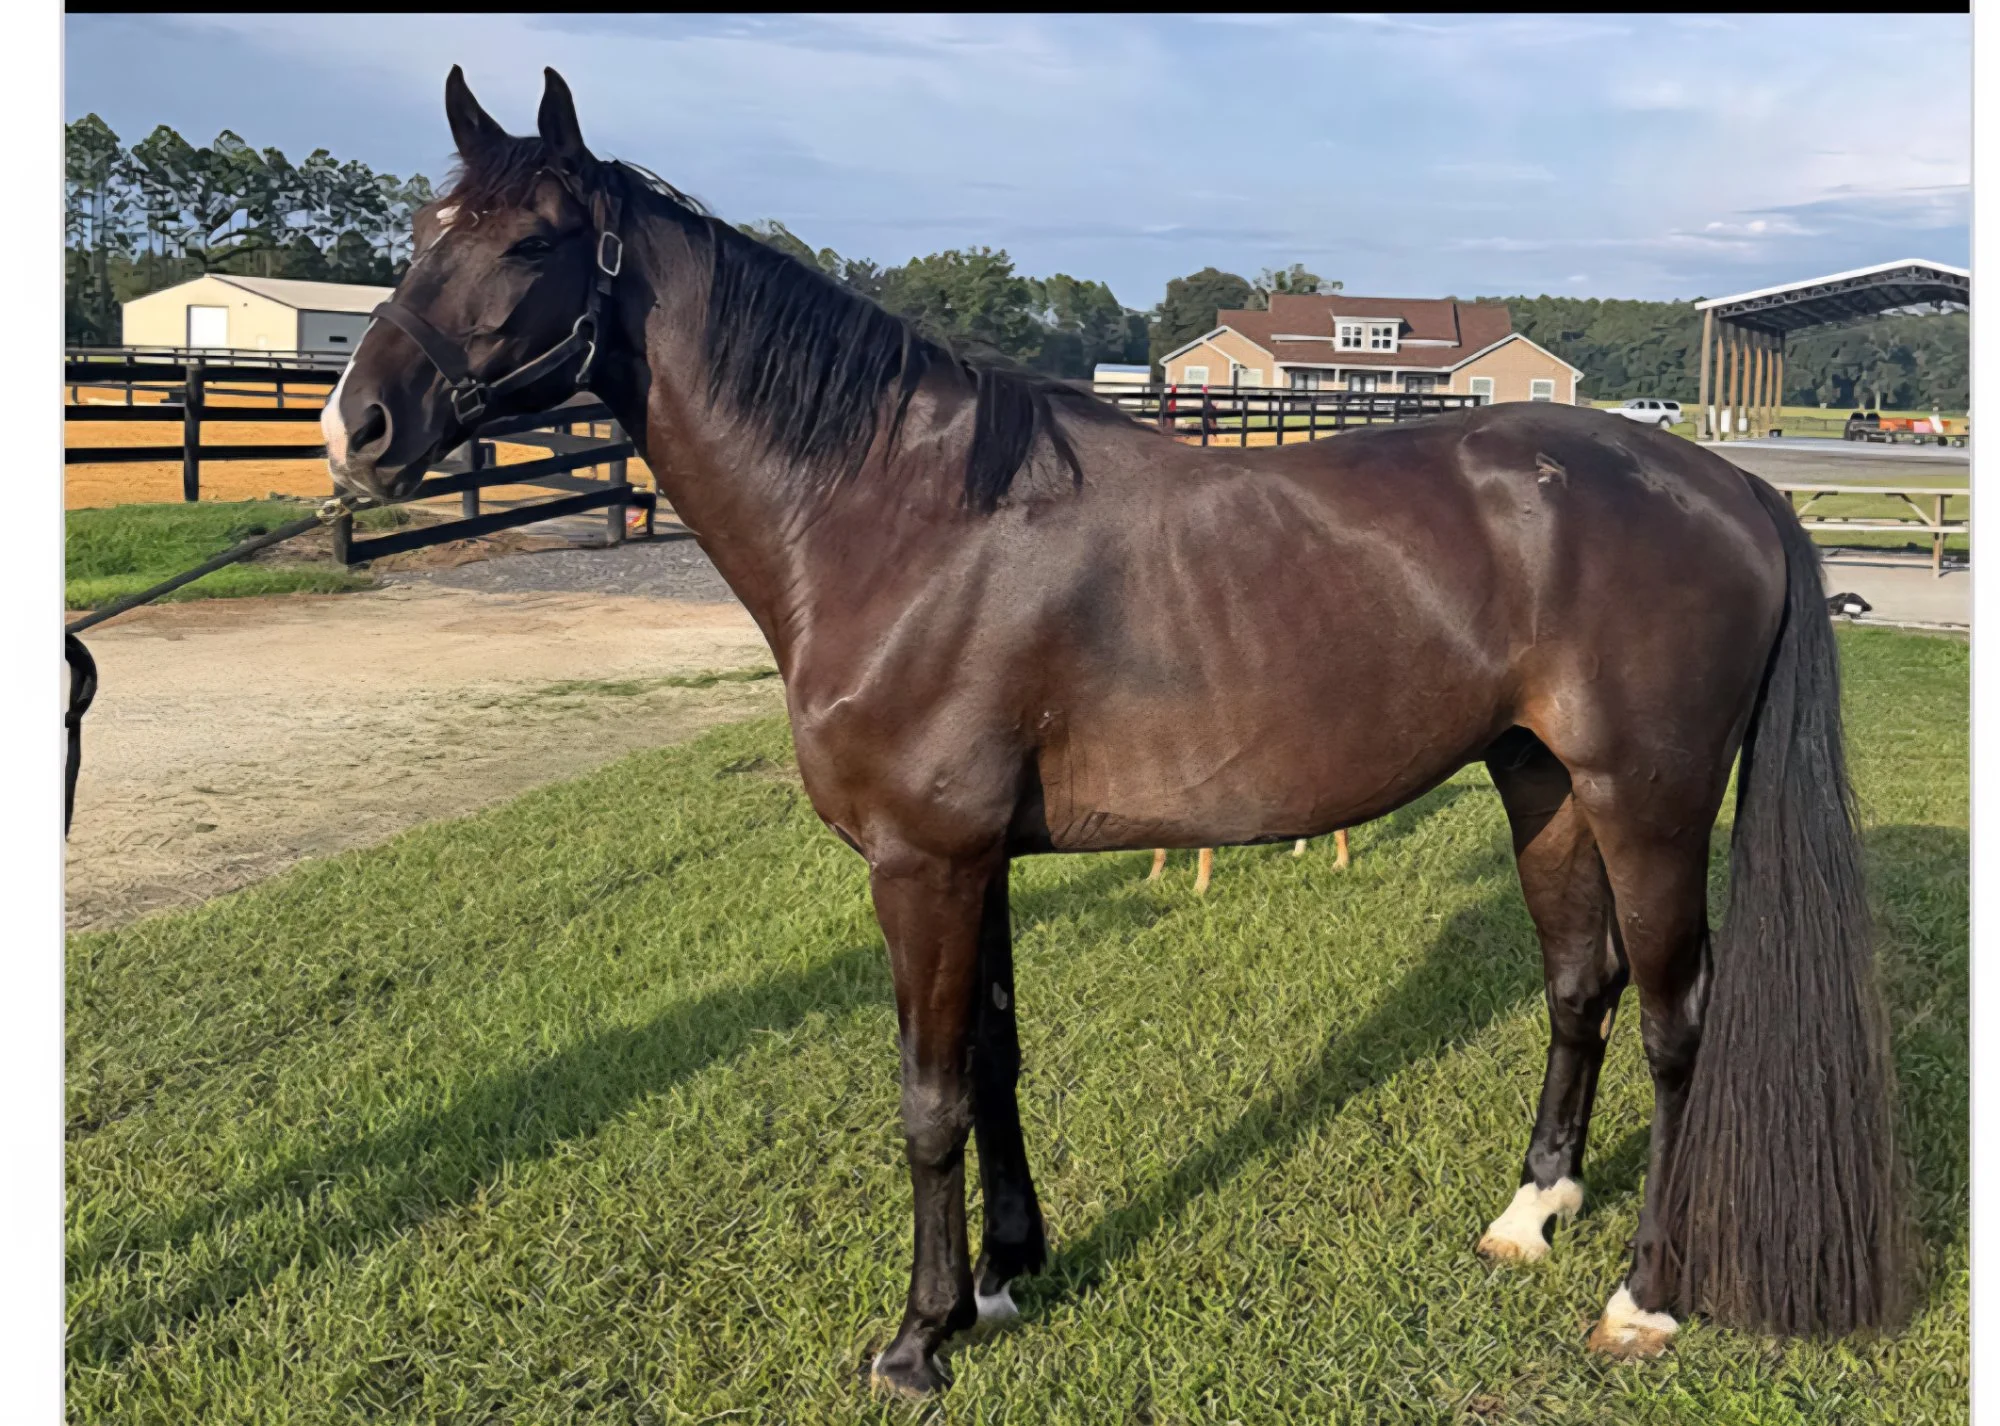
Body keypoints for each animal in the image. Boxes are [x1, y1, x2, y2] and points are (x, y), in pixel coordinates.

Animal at [322, 67, 1912, 1399]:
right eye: (423, 226)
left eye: (532, 244)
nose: (356, 428)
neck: (902, 518)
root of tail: (1728, 484)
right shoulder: (976, 859)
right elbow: (992, 1063)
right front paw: (1003, 1279)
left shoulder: (921, 864)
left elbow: (924, 1094)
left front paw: (916, 1338)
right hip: (1542, 781)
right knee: (1577, 984)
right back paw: (1530, 1213)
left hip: (1648, 798)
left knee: (1675, 1023)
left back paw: (1643, 1295)